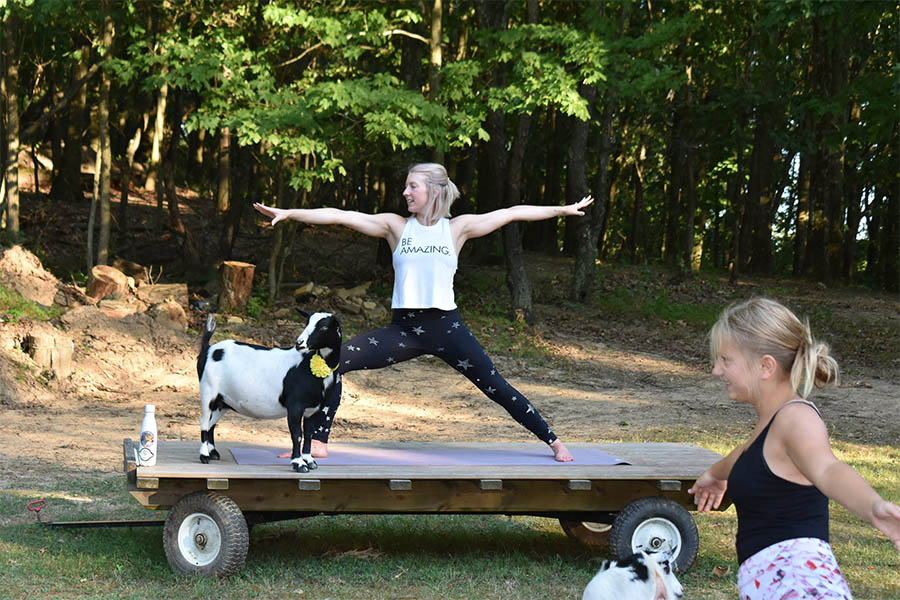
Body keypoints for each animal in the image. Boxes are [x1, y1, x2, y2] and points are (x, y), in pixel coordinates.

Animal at [197, 312, 342, 472]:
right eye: (307, 323)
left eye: (324, 327)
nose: (299, 343)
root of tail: (209, 349)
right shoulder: (295, 406)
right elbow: (297, 434)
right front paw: (299, 463)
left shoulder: (313, 409)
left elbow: (309, 433)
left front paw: (309, 461)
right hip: (208, 390)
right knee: (204, 421)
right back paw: (204, 456)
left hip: (222, 401)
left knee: (211, 424)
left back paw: (213, 453)